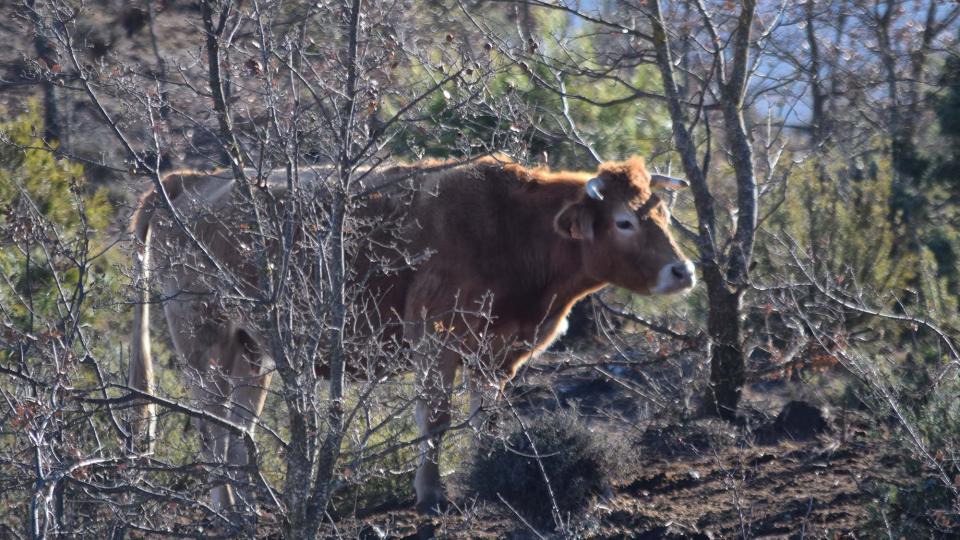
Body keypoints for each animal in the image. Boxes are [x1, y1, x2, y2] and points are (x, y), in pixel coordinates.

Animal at [129, 156, 696, 516]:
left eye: (663, 215)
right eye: (624, 222)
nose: (683, 271)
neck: (510, 230)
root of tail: (190, 182)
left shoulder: (498, 352)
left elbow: (485, 417)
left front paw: (488, 476)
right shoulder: (435, 340)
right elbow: (437, 417)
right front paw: (431, 495)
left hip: (252, 352)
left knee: (239, 426)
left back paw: (250, 505)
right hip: (205, 340)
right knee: (211, 425)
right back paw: (225, 510)